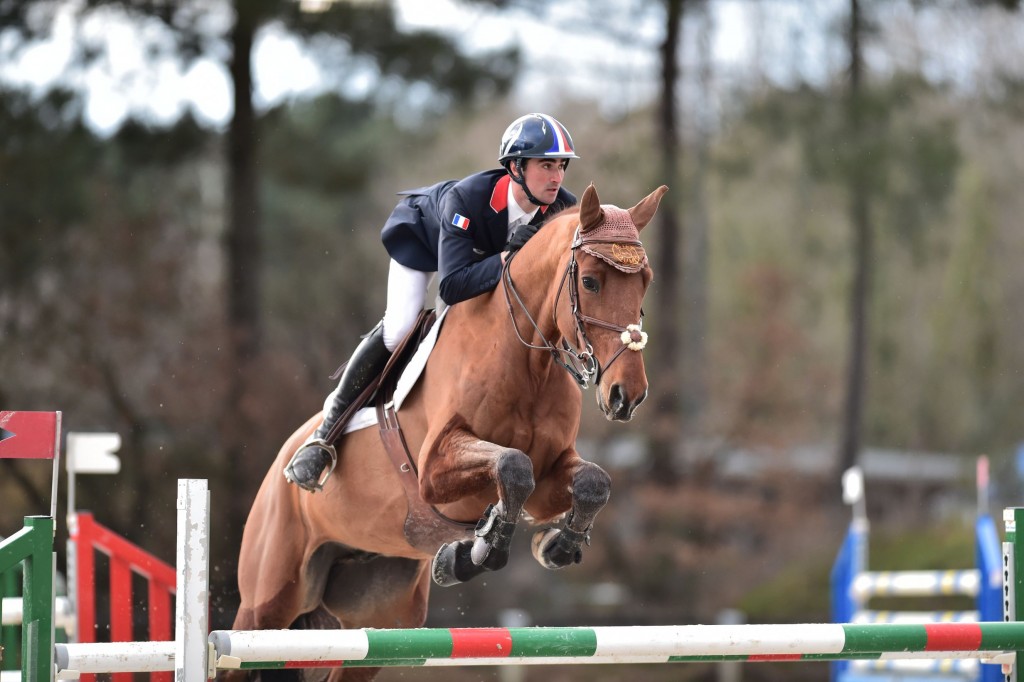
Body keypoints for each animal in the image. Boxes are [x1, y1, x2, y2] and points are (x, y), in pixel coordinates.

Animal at [228, 183, 667, 675]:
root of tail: (278, 463)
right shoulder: (434, 470)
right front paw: (480, 549)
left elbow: (593, 481)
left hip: (380, 618)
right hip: (266, 602)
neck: (526, 362)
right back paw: (312, 458)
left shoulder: (551, 476)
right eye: (590, 282)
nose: (626, 395)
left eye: (646, 281)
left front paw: (555, 545)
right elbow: (513, 466)